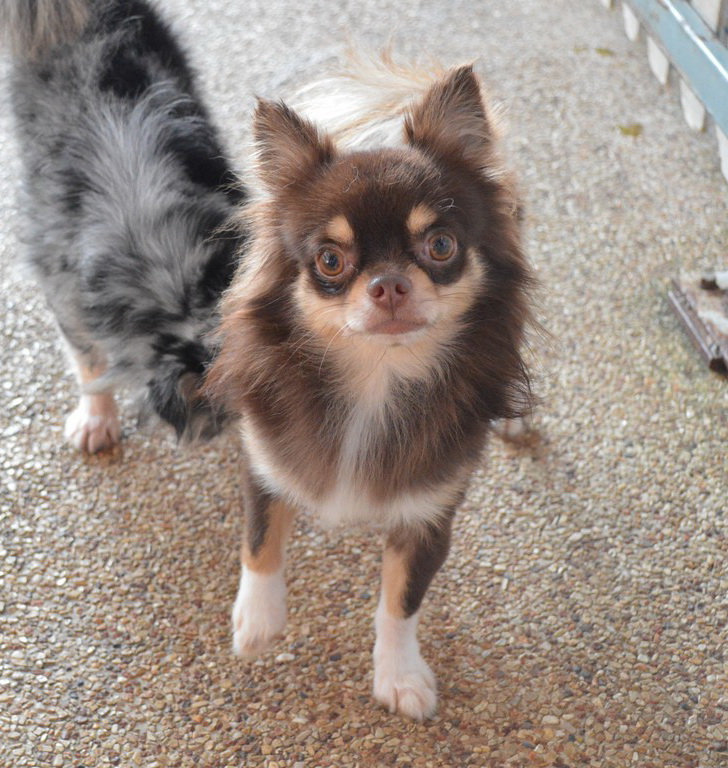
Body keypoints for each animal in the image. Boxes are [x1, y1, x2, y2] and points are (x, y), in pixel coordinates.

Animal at [205, 55, 535, 719]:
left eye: (441, 245)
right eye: (331, 261)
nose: (388, 284)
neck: (375, 380)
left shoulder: (429, 514)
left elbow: (401, 600)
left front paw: (400, 675)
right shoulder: (263, 459)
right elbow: (259, 540)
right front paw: (257, 620)